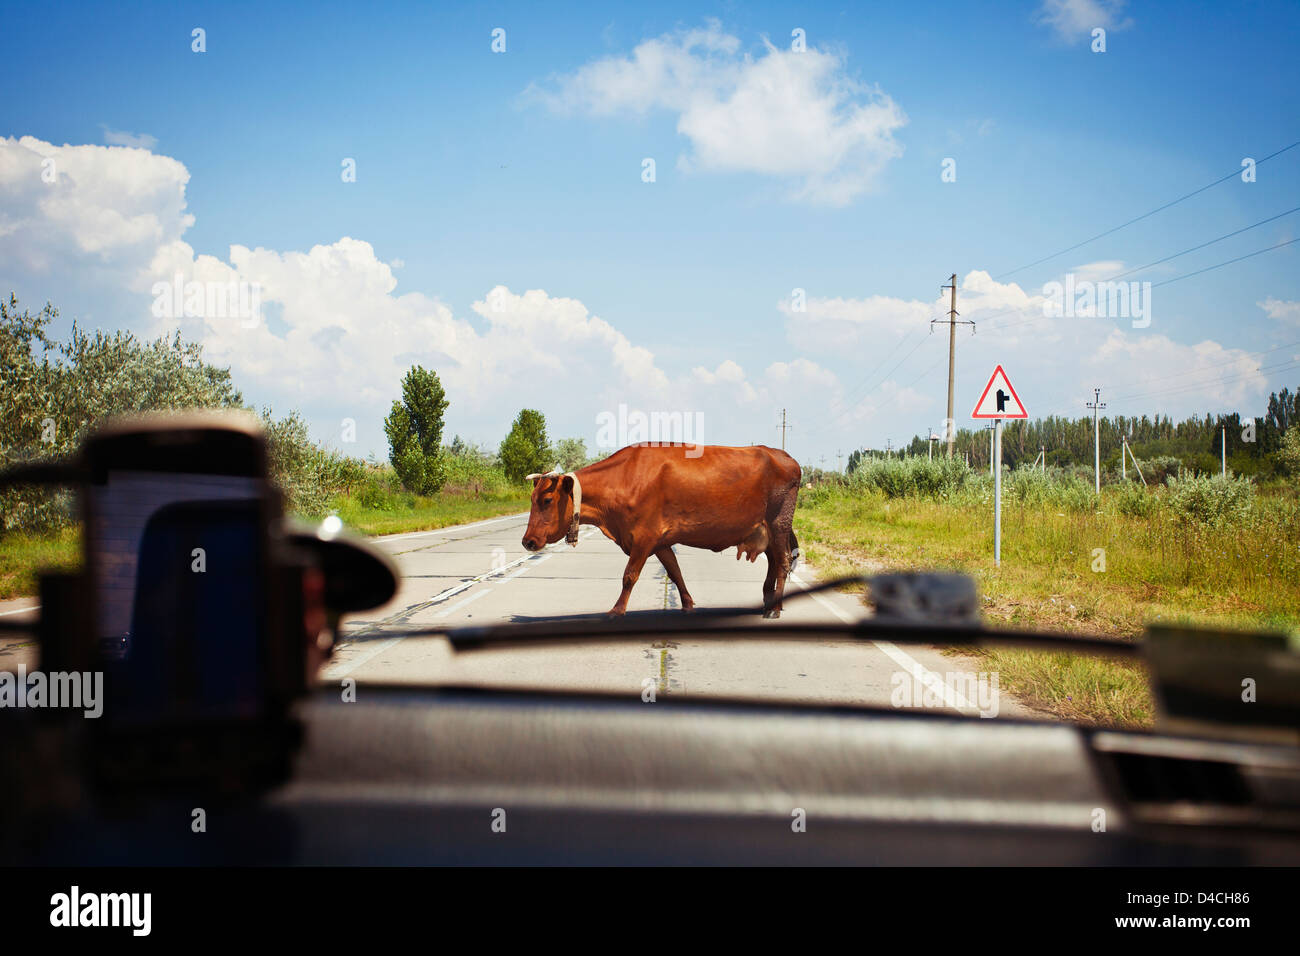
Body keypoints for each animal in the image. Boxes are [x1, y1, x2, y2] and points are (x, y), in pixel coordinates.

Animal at [520, 442, 800, 616]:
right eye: (531, 499)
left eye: (546, 500)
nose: (527, 541)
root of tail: (784, 456)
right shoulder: (660, 541)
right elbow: (675, 572)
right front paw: (687, 604)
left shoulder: (644, 538)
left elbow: (629, 575)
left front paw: (616, 610)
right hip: (765, 530)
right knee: (774, 561)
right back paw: (768, 601)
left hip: (779, 523)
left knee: (783, 561)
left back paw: (775, 609)